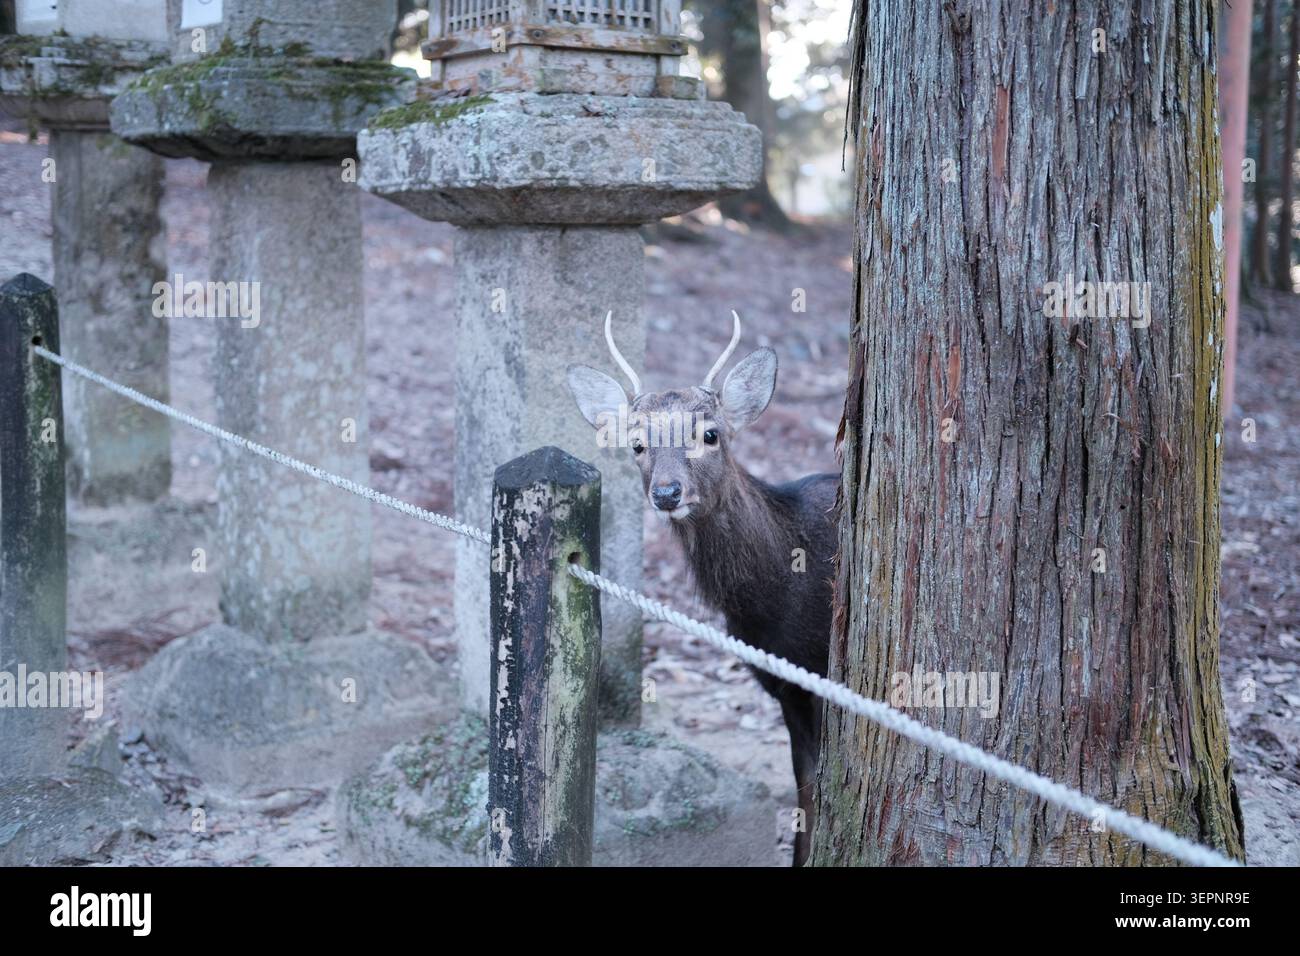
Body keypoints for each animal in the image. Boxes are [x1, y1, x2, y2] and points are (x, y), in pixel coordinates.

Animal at [567, 312, 838, 866]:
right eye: (637, 443)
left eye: (710, 433)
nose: (668, 493)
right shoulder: (783, 683)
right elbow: (804, 784)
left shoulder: (825, 674)